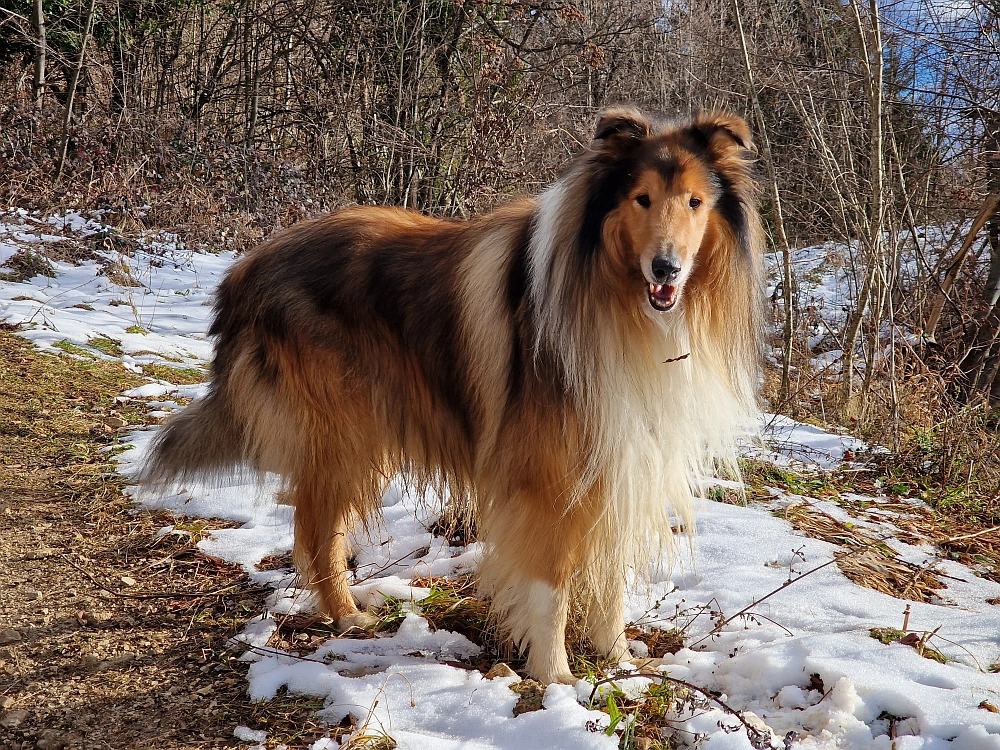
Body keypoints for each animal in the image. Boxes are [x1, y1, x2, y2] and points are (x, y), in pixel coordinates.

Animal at [141, 107, 760, 688]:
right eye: (641, 198)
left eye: (695, 202)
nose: (666, 268)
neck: (615, 299)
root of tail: (246, 268)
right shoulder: (548, 479)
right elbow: (552, 584)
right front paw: (556, 676)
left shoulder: (621, 459)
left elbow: (609, 577)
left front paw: (617, 660)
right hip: (346, 435)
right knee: (316, 530)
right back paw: (347, 617)